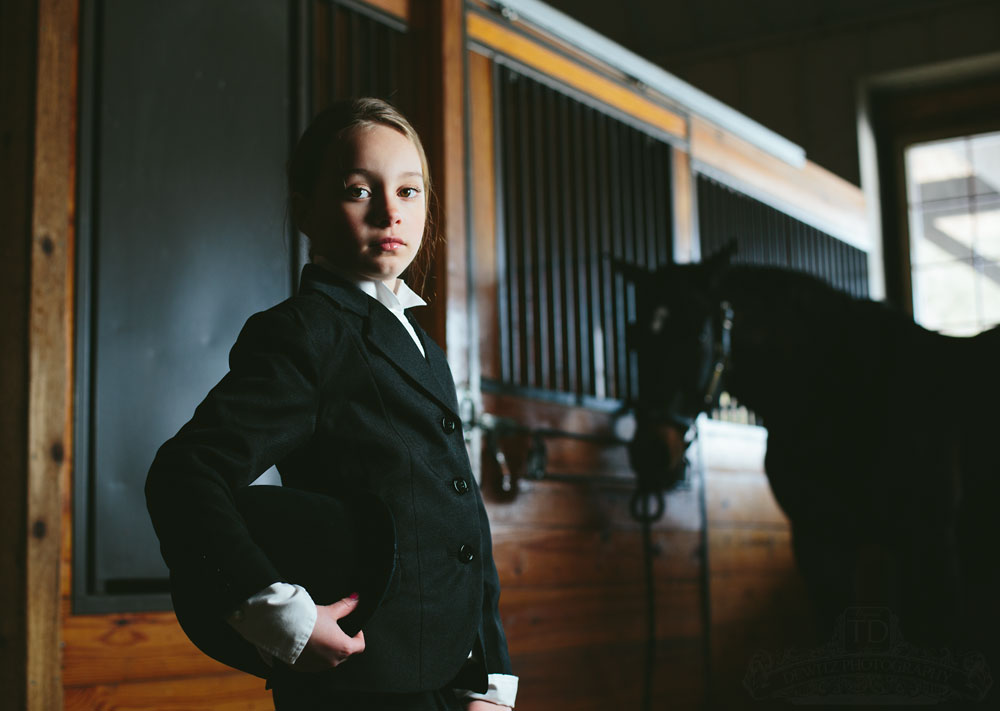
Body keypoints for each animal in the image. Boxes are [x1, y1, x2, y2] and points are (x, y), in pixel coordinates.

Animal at [624, 248, 1000, 680]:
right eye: (633, 338)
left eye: (697, 336)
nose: (649, 454)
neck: (837, 392)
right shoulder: (818, 540)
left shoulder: (931, 540)